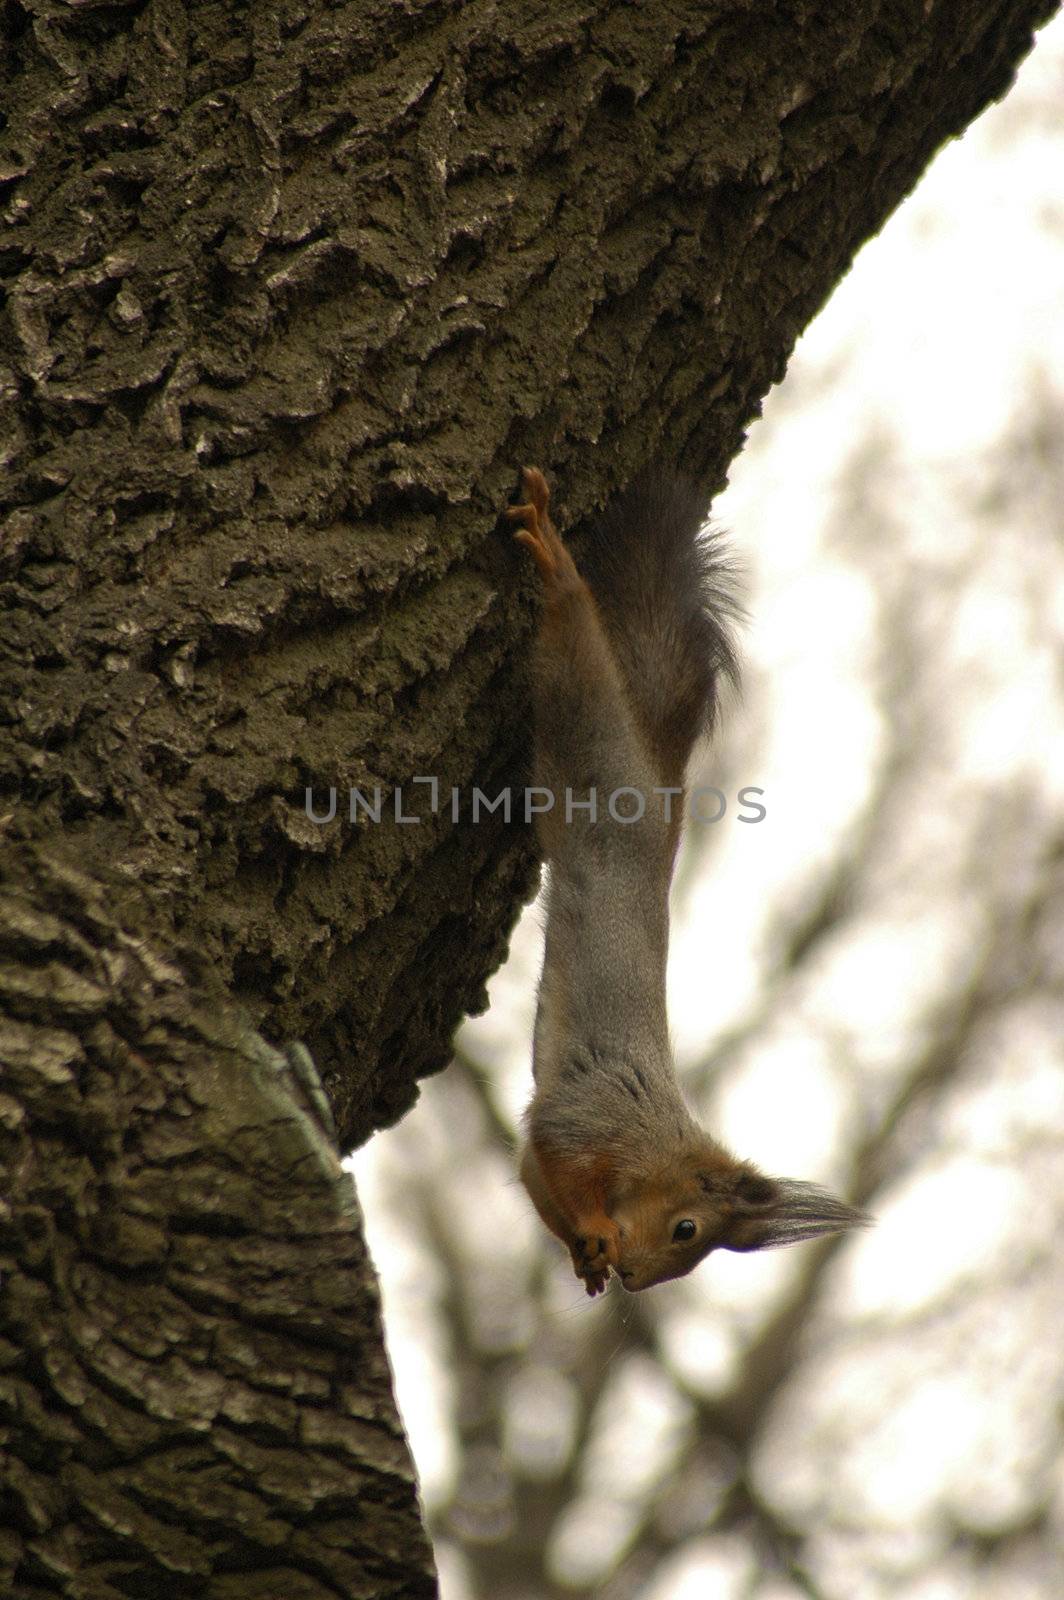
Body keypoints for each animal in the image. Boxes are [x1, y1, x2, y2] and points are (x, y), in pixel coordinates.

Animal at [505, 467, 864, 1292]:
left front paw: (585, 1256)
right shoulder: (591, 1114)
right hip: (595, 749)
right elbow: (556, 1152)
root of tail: (660, 789)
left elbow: (537, 1179)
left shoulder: (552, 1151)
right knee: (575, 660)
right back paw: (559, 571)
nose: (639, 1281)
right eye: (687, 1228)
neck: (652, 1143)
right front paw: (596, 1231)